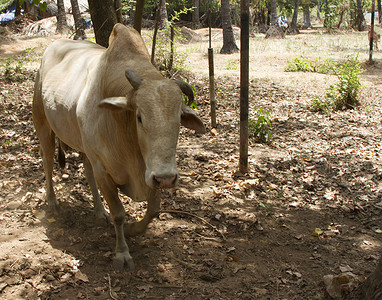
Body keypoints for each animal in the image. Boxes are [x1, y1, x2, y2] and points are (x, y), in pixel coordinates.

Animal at [32, 24, 206, 272]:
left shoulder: (149, 172)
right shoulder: (105, 171)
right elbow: (119, 214)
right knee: (47, 161)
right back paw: (52, 201)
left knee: (87, 172)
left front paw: (133, 230)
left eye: (179, 119)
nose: (166, 178)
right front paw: (122, 253)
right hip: (43, 123)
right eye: (139, 117)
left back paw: (98, 211)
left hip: (86, 149)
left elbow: (153, 210)